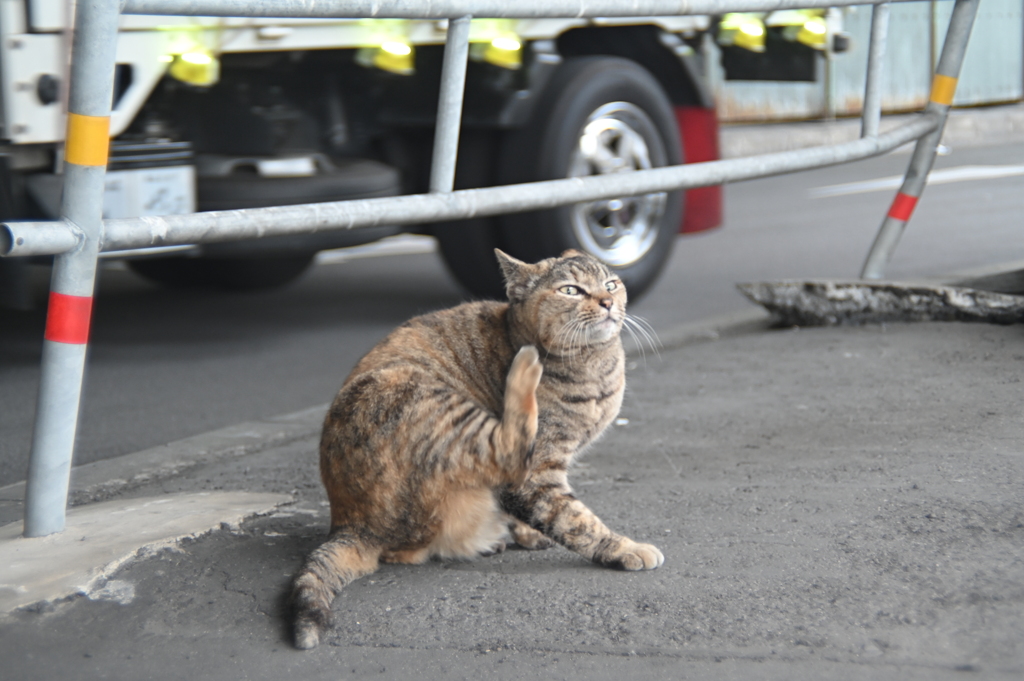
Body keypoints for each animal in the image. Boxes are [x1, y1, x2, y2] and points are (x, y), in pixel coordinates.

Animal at [290, 248, 663, 647]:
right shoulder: (536, 474)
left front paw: (527, 532)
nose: (607, 301)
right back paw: (524, 369)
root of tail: (350, 525)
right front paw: (625, 549)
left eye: (611, 284)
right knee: (506, 448)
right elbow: (577, 522)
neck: (593, 369)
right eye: (571, 290)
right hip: (432, 401)